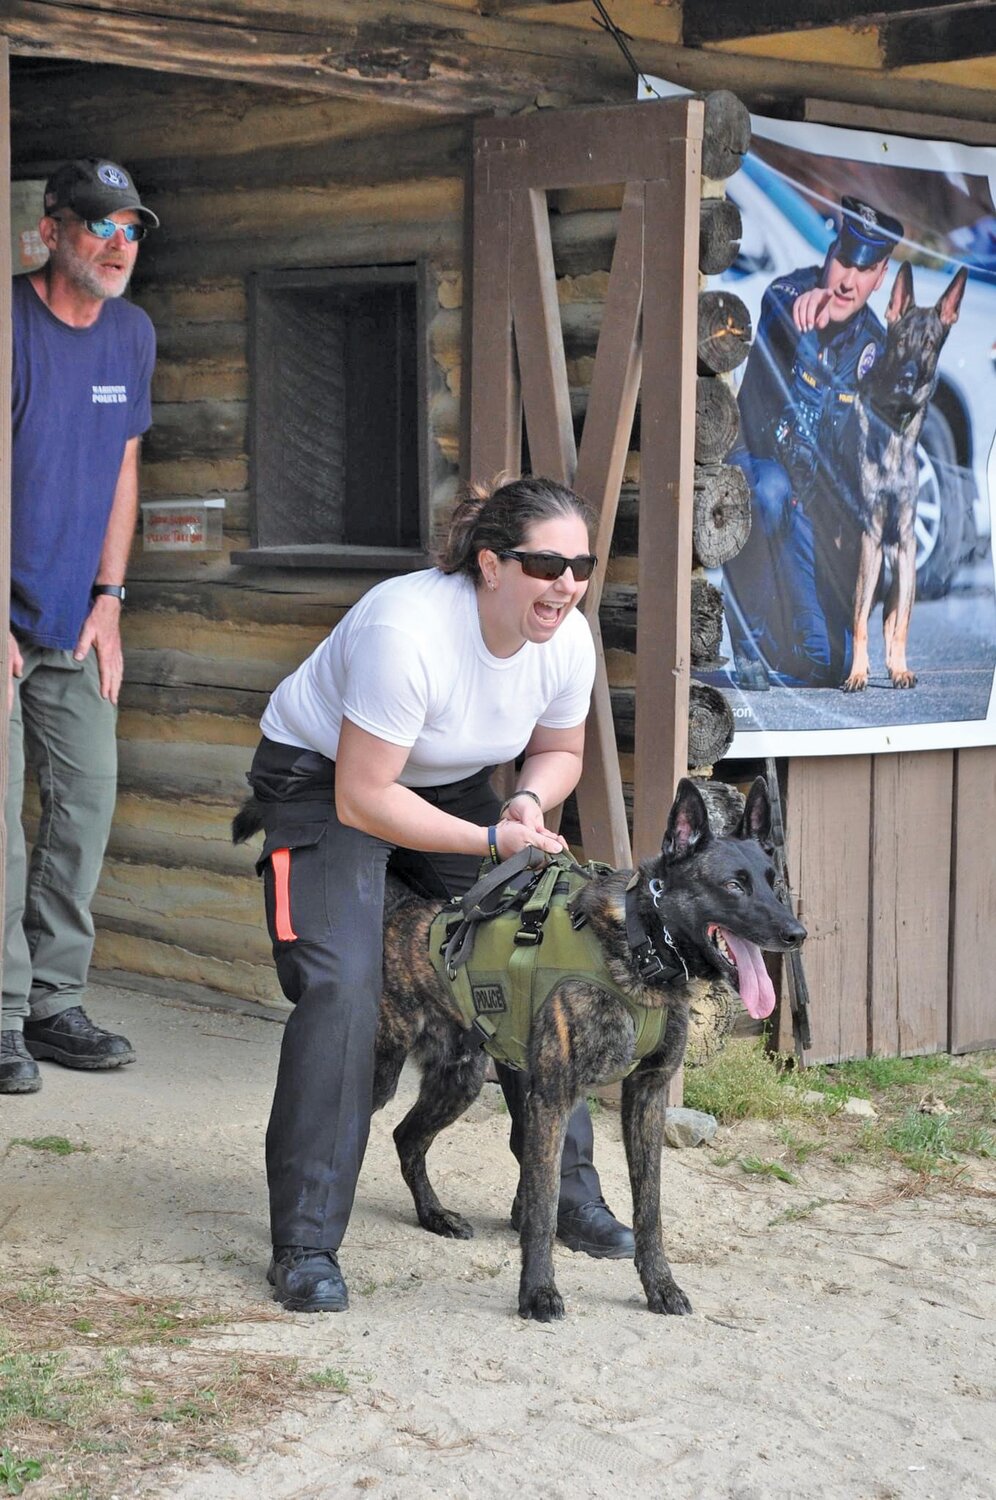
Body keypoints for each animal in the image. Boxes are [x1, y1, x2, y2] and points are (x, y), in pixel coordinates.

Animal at [369, 780, 804, 1320]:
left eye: (773, 882)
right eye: (734, 886)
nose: (797, 934)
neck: (642, 949)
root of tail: (400, 914)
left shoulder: (647, 1096)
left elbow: (650, 1207)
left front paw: (660, 1285)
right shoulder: (553, 1098)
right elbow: (541, 1209)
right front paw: (538, 1292)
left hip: (460, 1079)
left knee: (407, 1137)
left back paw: (434, 1216)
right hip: (381, 1071)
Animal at [840, 261, 966, 693]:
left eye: (929, 344)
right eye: (900, 341)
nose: (909, 377)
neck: (894, 429)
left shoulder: (907, 542)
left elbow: (902, 623)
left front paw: (899, 668)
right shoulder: (870, 537)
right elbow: (858, 618)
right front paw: (857, 672)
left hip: (896, 567)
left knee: (892, 616)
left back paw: (894, 664)